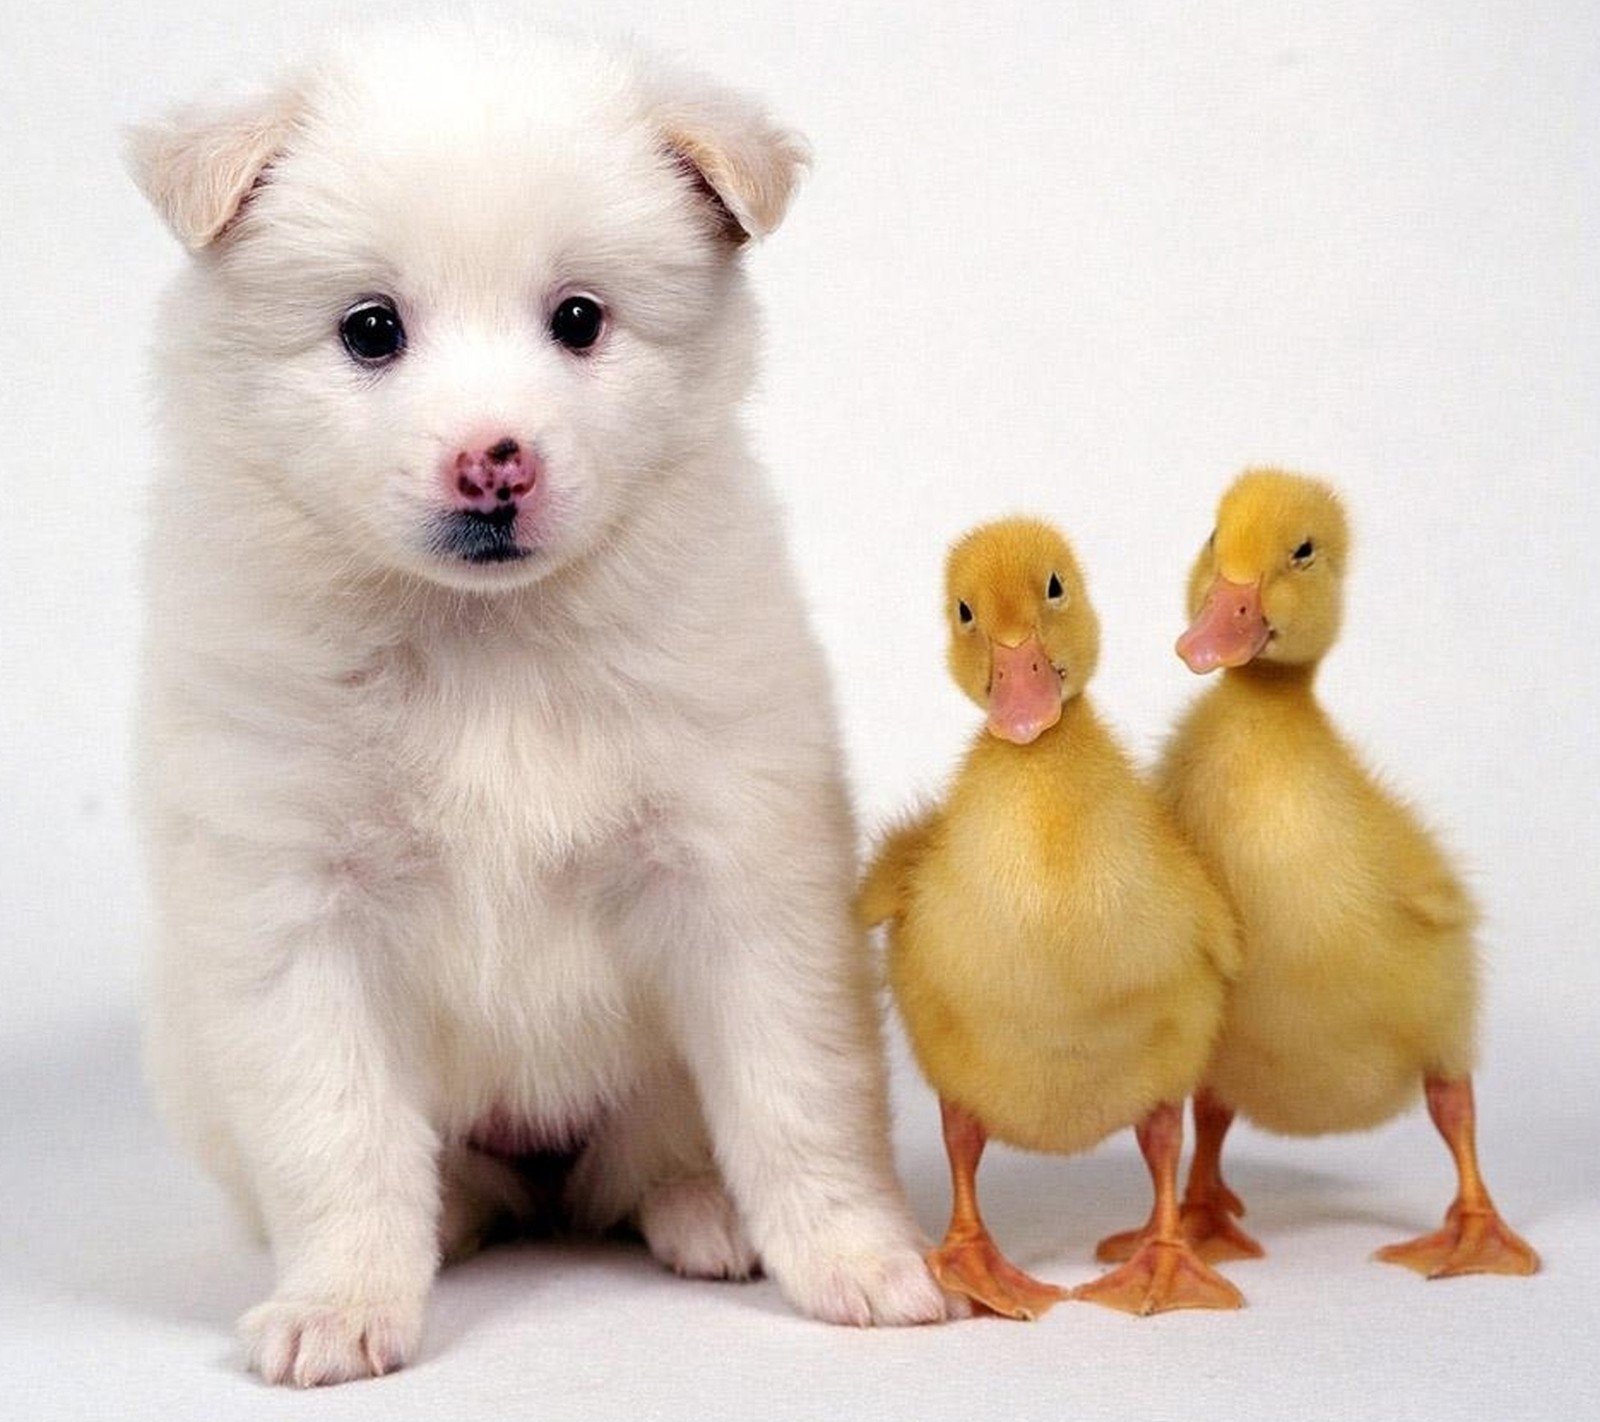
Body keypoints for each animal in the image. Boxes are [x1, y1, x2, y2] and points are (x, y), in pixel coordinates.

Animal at [128, 24, 947, 1388]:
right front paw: (340, 1306)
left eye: (578, 320)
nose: (492, 462)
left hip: (647, 1095)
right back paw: (453, 1219)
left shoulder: (739, 870)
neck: (487, 640)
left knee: (663, 1153)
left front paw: (858, 1259)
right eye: (370, 330)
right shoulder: (294, 905)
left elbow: (798, 1091)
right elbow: (337, 1132)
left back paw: (706, 1214)